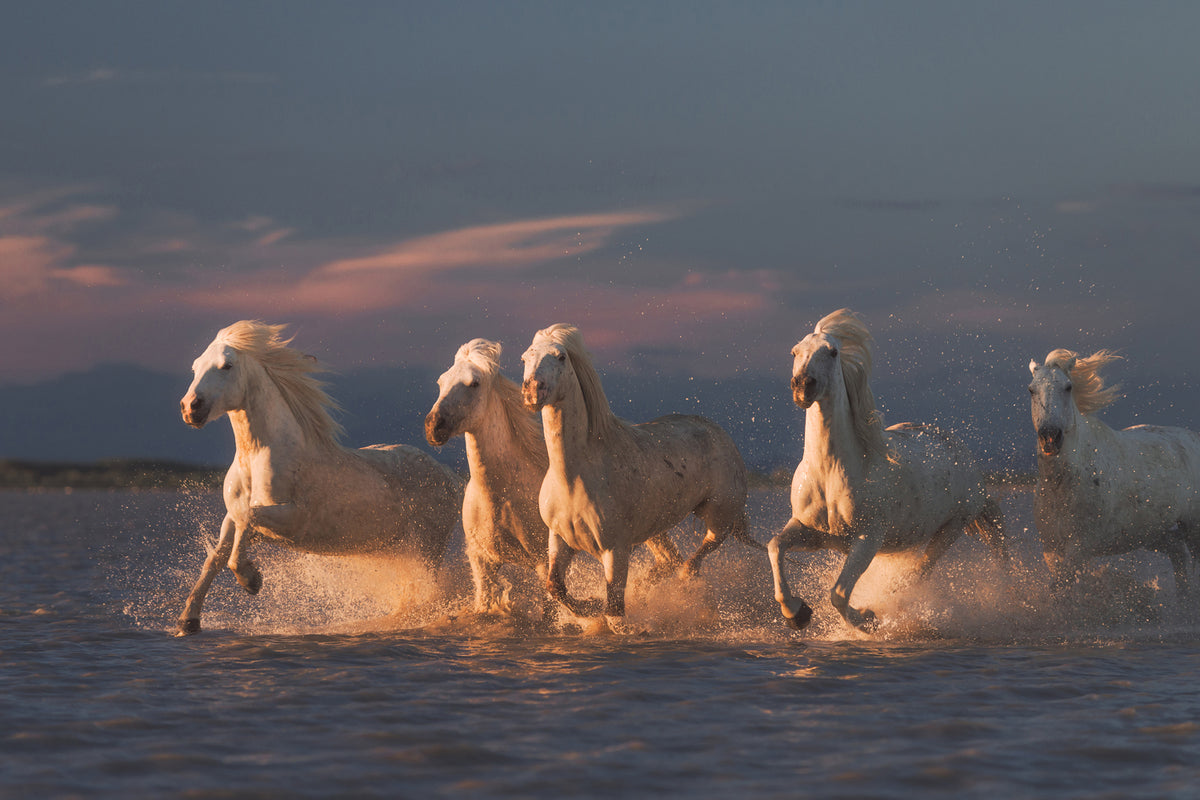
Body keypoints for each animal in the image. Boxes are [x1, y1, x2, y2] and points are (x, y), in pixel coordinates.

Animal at [175, 321, 460, 633]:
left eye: (226, 365)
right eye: (195, 366)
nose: (190, 408)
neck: (257, 460)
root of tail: (449, 475)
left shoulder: (293, 521)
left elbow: (249, 520)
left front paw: (251, 580)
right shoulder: (232, 516)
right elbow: (216, 556)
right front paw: (187, 621)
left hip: (427, 548)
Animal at [424, 338, 686, 618]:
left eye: (474, 383)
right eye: (441, 382)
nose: (433, 426)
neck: (501, 494)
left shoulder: (542, 560)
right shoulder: (482, 560)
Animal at [523, 321, 753, 633]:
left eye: (560, 357)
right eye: (525, 357)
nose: (532, 391)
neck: (574, 477)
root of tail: (719, 432)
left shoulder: (615, 549)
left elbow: (615, 615)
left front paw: (613, 615)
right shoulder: (561, 539)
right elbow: (555, 587)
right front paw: (591, 606)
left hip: (719, 513)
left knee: (700, 551)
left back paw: (685, 582)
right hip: (655, 528)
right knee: (668, 561)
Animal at [763, 311, 1008, 633]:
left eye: (832, 352)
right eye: (794, 352)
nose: (803, 386)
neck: (830, 473)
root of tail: (963, 454)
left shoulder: (867, 539)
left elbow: (838, 594)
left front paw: (868, 619)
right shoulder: (810, 532)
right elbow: (775, 546)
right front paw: (796, 613)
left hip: (952, 527)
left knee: (917, 573)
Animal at [1027, 347, 1200, 597]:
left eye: (1068, 387)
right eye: (1031, 389)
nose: (1050, 437)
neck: (1062, 486)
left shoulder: (1079, 547)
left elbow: (1061, 587)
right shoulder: (1051, 548)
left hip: (1192, 529)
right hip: (1151, 533)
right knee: (1177, 551)